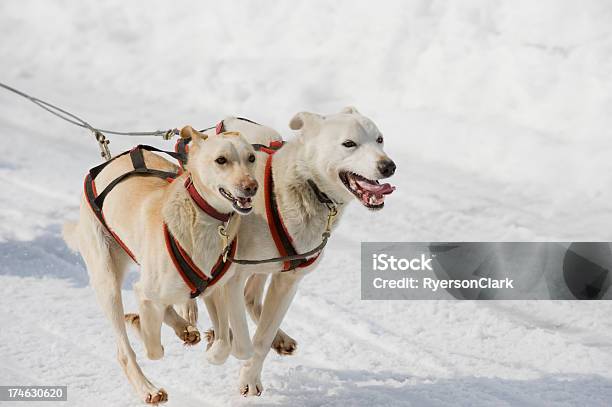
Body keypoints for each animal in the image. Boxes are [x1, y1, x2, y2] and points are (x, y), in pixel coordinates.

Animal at [63, 128, 260, 404]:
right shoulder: (144, 292)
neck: (204, 220)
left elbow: (226, 343)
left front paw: (212, 350)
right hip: (107, 282)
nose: (251, 187)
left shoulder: (215, 290)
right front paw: (140, 324)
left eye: (251, 157)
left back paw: (182, 327)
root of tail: (107, 164)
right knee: (125, 351)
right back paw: (148, 388)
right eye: (221, 160)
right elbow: (153, 349)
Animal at [188, 107, 396, 396]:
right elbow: (240, 335)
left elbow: (261, 339)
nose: (388, 166)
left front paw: (250, 376)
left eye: (380, 140)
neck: (305, 187)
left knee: (252, 298)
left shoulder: (288, 280)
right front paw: (224, 348)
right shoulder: (233, 274)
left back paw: (279, 338)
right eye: (349, 143)